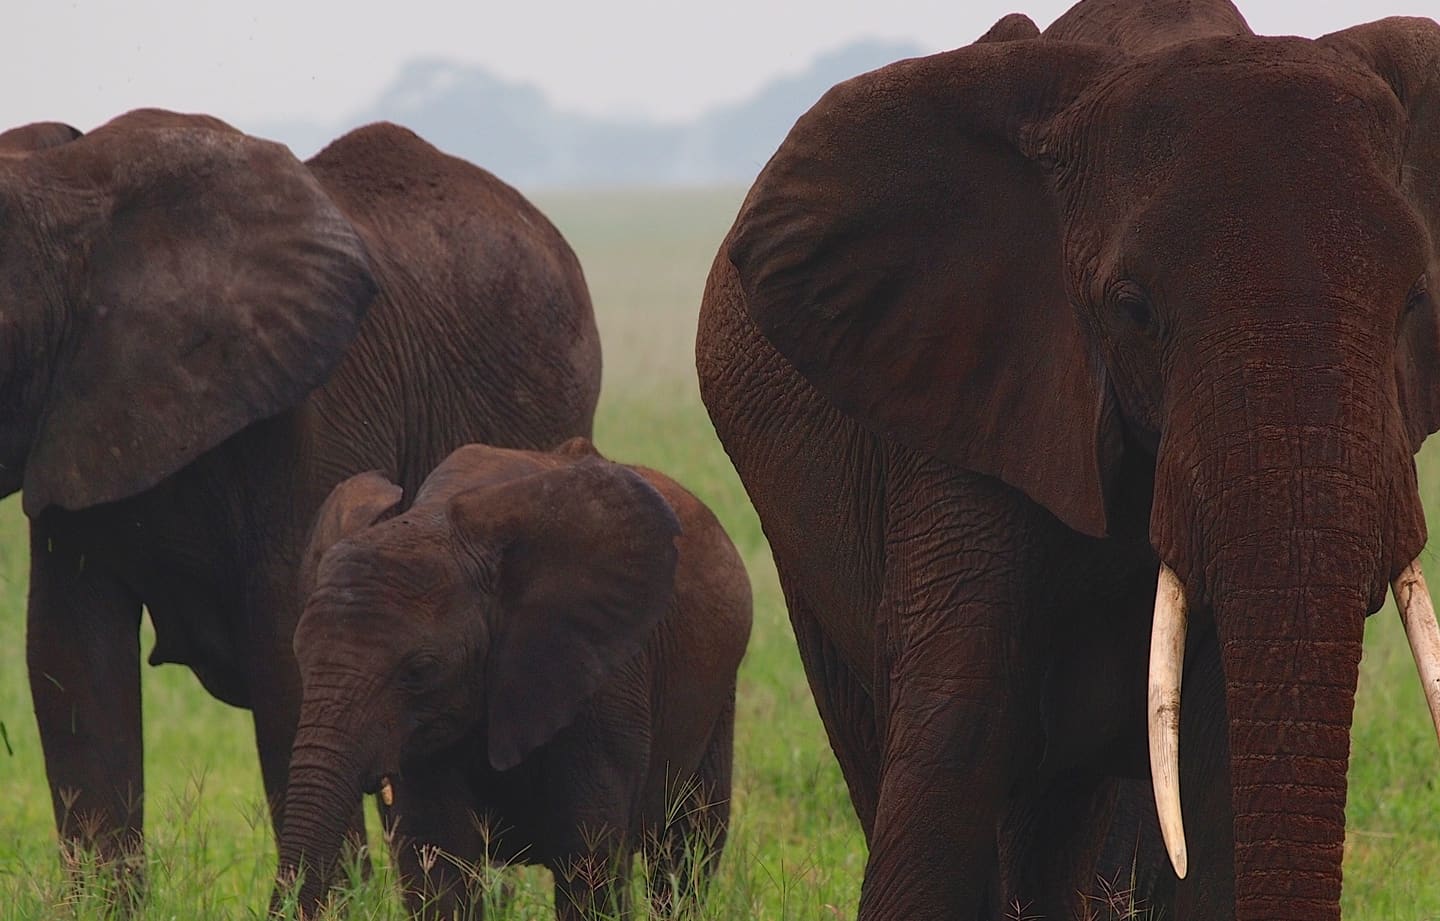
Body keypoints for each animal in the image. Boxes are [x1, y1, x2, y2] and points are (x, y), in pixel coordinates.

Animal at [273, 438, 752, 919]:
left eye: (419, 671)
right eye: (300, 657)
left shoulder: (601, 675)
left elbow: (588, 862)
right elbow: (438, 862)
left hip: (719, 691)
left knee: (686, 850)